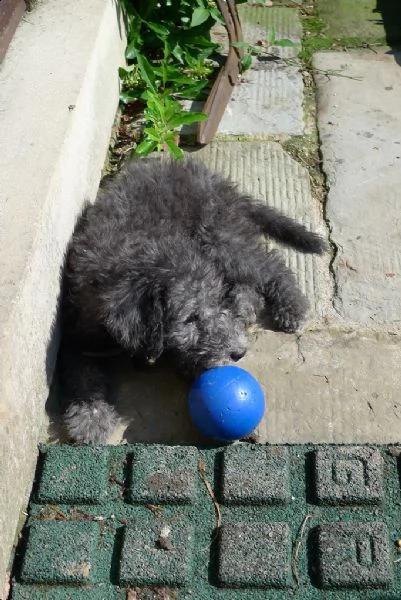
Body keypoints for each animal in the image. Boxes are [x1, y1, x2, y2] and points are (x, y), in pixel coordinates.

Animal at [59, 157, 324, 442]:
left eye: (214, 302)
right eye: (190, 318)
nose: (239, 352)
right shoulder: (76, 335)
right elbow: (82, 374)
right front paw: (91, 417)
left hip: (219, 236)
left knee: (269, 265)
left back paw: (289, 306)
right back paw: (245, 303)